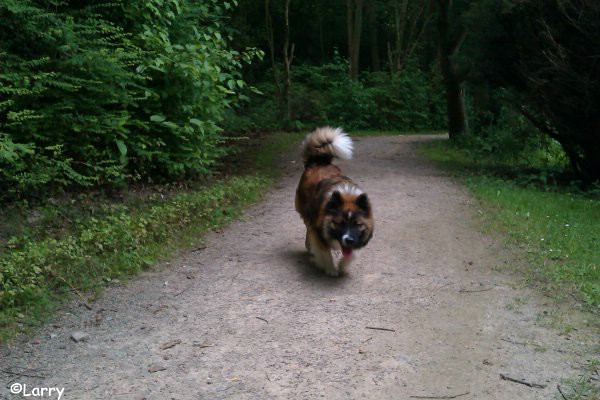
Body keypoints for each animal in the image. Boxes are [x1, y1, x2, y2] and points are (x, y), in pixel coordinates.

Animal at [294, 126, 372, 276]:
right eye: (339, 223)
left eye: (358, 224)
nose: (349, 240)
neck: (346, 195)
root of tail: (318, 161)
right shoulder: (316, 229)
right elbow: (324, 252)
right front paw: (330, 269)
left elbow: (352, 254)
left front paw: (343, 266)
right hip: (307, 213)